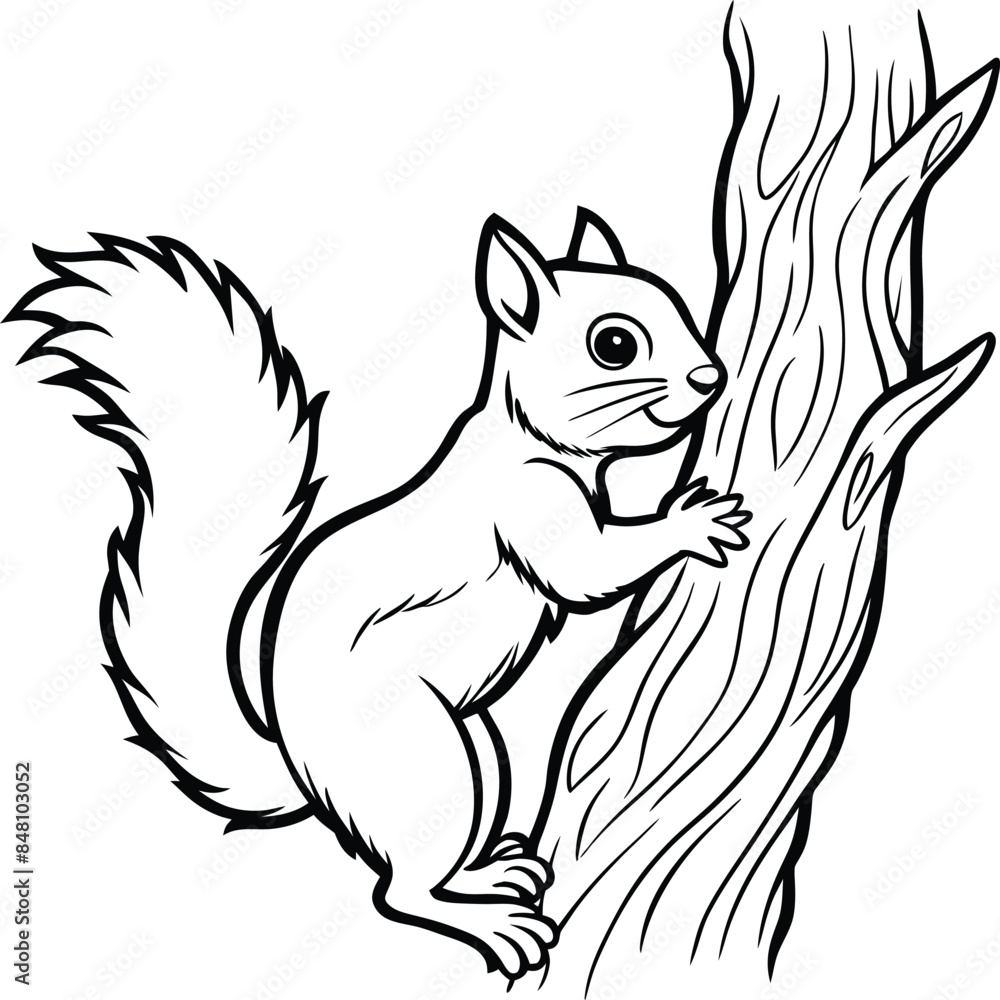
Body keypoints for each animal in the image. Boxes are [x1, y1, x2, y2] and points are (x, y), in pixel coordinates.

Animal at [6, 207, 750, 980]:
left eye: (679, 306)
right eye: (613, 344)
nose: (711, 377)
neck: (531, 437)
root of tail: (304, 768)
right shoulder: (525, 503)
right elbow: (587, 570)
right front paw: (690, 522)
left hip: (479, 759)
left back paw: (491, 874)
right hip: (421, 757)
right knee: (396, 893)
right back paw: (491, 926)